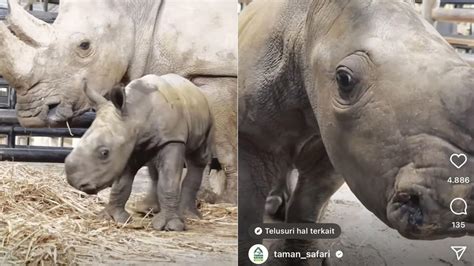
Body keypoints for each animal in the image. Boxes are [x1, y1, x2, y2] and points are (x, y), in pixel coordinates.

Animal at [0, 0, 237, 203]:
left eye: (84, 45)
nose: (29, 117)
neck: (139, 12)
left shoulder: (218, 73)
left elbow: (224, 143)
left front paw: (227, 200)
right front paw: (203, 196)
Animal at [65, 74, 213, 231]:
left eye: (104, 153)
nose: (76, 183)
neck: (135, 112)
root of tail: (194, 88)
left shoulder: (172, 139)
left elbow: (169, 182)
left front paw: (171, 226)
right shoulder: (129, 145)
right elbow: (121, 184)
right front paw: (112, 217)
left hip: (206, 115)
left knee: (198, 159)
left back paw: (189, 215)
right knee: (154, 168)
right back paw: (148, 210)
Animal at [241, 0, 474, 264]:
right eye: (344, 79)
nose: (455, 209)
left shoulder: (341, 148)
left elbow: (309, 202)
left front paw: (303, 258)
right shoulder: (250, 137)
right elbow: (247, 206)